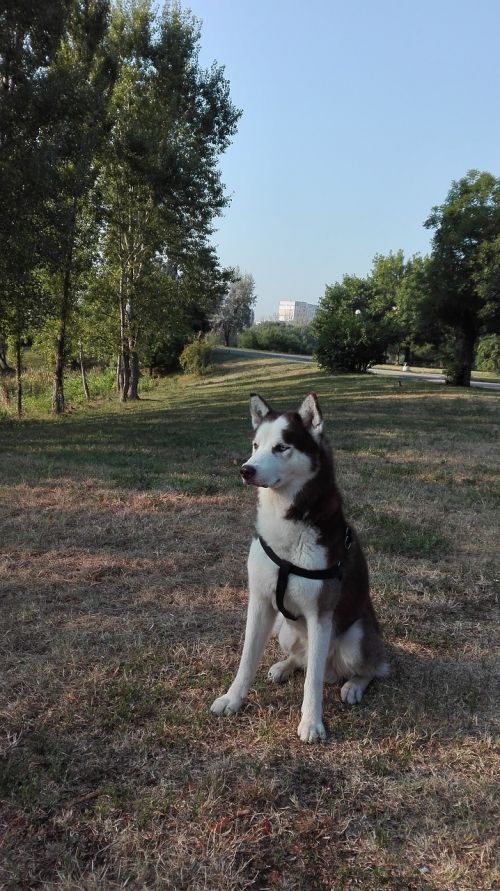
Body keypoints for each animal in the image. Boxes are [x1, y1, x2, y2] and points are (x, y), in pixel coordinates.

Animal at [209, 394, 388, 744]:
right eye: (255, 445)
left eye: (282, 447)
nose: (245, 470)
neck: (286, 520)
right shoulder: (260, 602)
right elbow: (246, 659)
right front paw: (233, 699)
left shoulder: (321, 614)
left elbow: (313, 682)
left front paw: (311, 723)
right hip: (284, 629)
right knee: (303, 659)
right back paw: (284, 666)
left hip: (355, 638)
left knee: (369, 668)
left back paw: (353, 686)